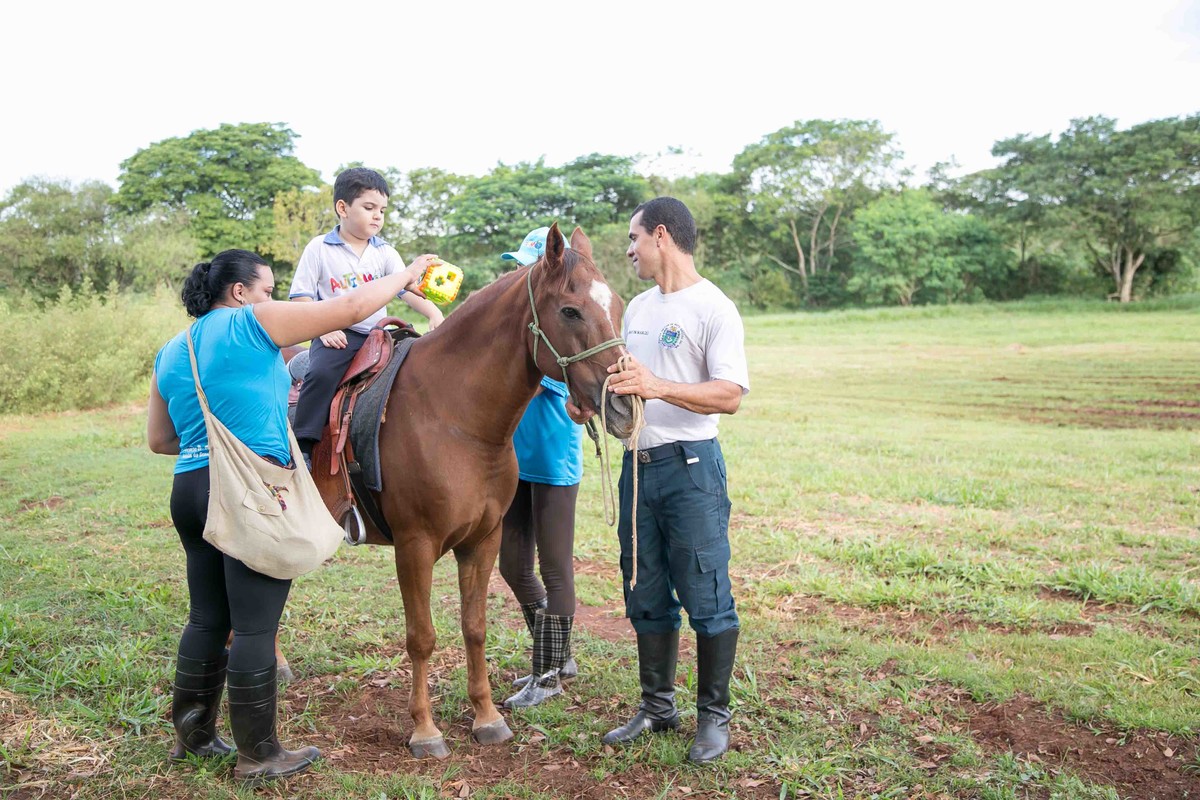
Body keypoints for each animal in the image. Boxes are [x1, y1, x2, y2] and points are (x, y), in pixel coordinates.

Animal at [312, 223, 634, 757]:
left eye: (621, 305)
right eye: (570, 310)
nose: (625, 406)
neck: (453, 417)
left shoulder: (483, 541)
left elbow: (475, 628)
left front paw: (485, 717)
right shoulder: (415, 546)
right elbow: (421, 637)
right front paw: (424, 729)